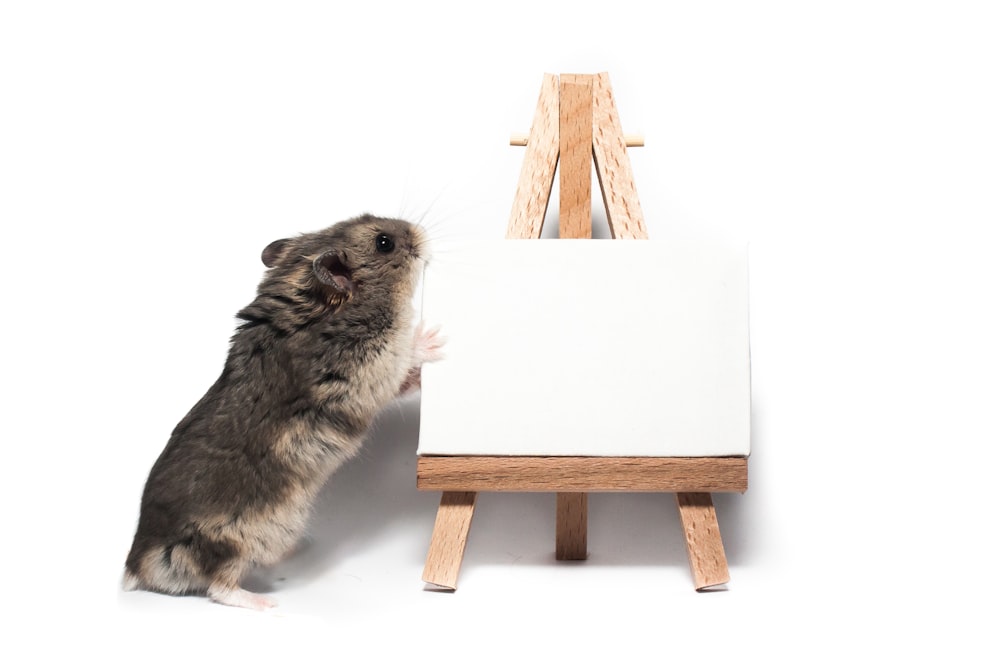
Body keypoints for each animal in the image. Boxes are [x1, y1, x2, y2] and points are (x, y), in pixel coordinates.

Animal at [122, 215, 442, 612]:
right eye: (385, 243)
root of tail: (137, 563)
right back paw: (265, 604)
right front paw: (433, 339)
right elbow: (406, 365)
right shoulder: (368, 371)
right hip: (234, 541)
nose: (420, 231)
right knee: (218, 588)